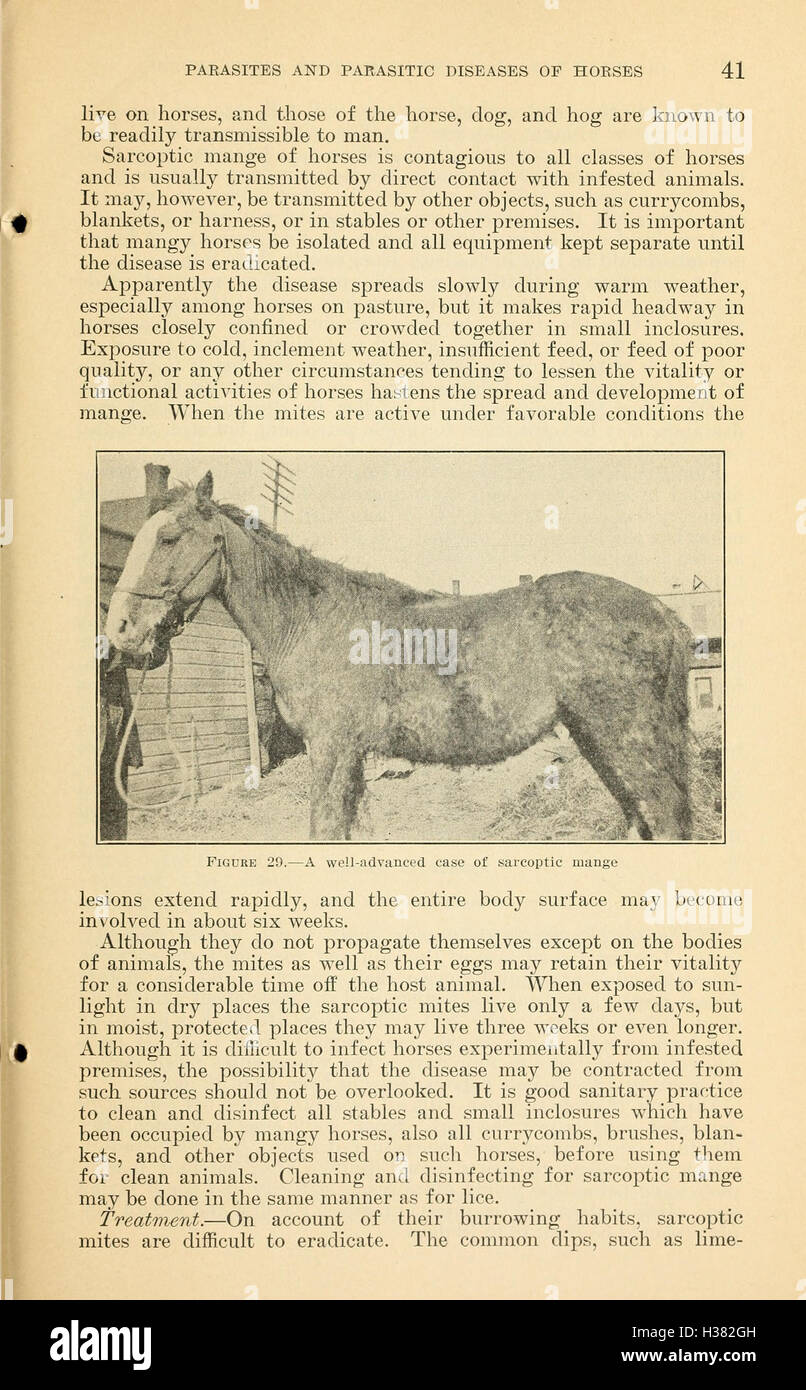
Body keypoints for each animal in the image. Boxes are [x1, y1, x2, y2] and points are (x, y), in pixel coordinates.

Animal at [106, 471, 693, 842]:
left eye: (168, 538)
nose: (120, 630)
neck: (312, 619)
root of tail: (665, 616)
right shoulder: (350, 757)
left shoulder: (332, 749)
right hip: (597, 740)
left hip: (627, 741)